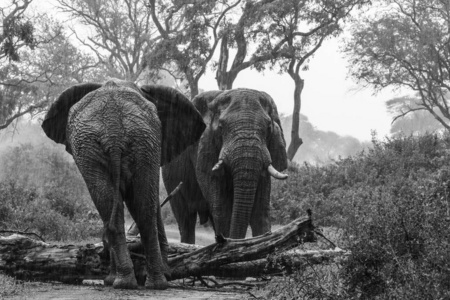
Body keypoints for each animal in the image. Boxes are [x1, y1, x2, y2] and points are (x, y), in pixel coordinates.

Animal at [40, 79, 206, 288]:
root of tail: (113, 132)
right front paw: (167, 273)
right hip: (136, 142)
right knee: (140, 210)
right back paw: (150, 283)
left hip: (116, 144)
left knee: (116, 209)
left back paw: (124, 281)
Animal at [163, 88, 288, 243]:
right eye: (221, 127)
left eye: (269, 127)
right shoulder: (204, 148)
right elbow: (222, 208)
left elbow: (260, 211)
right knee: (186, 220)